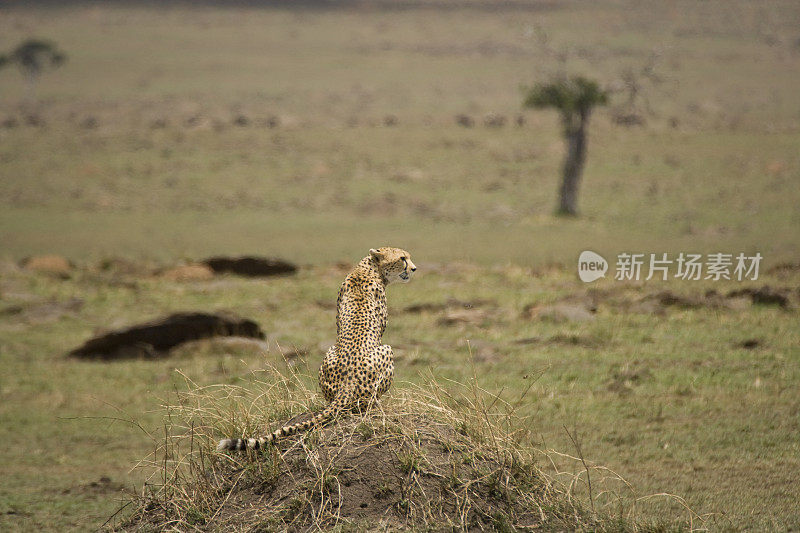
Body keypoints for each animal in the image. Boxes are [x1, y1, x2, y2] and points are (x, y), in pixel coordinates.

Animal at [219, 245, 418, 448]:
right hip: (387, 351)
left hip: (329, 354)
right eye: (402, 258)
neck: (368, 268)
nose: (414, 268)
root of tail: (346, 386)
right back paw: (378, 404)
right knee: (367, 402)